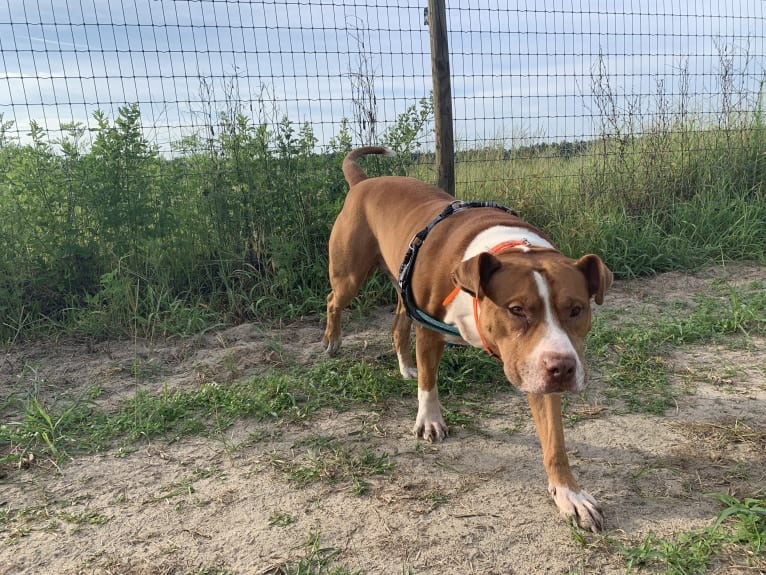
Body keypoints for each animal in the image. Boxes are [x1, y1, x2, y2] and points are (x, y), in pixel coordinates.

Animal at [320, 146, 616, 532]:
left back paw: (405, 366)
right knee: (333, 300)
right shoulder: (430, 330)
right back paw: (332, 342)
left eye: (577, 309)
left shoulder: (536, 363)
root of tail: (363, 182)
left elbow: (555, 440)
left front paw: (570, 494)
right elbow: (430, 382)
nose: (563, 369)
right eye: (517, 309)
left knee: (398, 323)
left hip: (399, 284)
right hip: (350, 275)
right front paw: (430, 420)